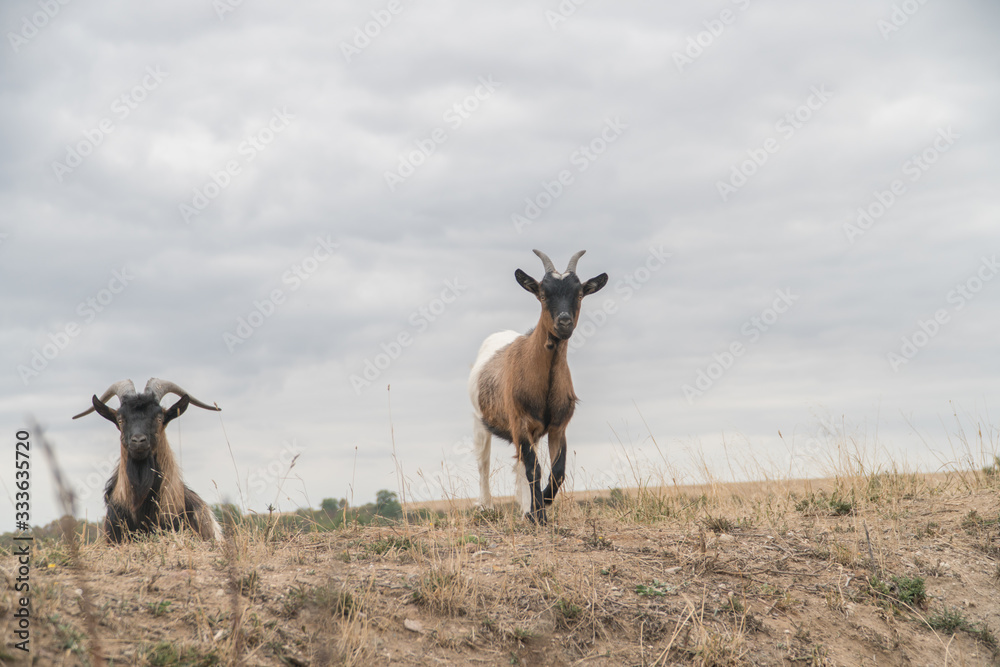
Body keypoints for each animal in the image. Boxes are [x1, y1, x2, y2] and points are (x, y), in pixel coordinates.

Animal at [469, 249, 608, 524]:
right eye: (543, 295)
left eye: (579, 294)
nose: (564, 322)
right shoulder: (520, 424)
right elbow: (534, 469)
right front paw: (538, 515)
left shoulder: (558, 427)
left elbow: (557, 471)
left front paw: (539, 505)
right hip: (480, 420)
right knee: (484, 462)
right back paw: (486, 507)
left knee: (518, 465)